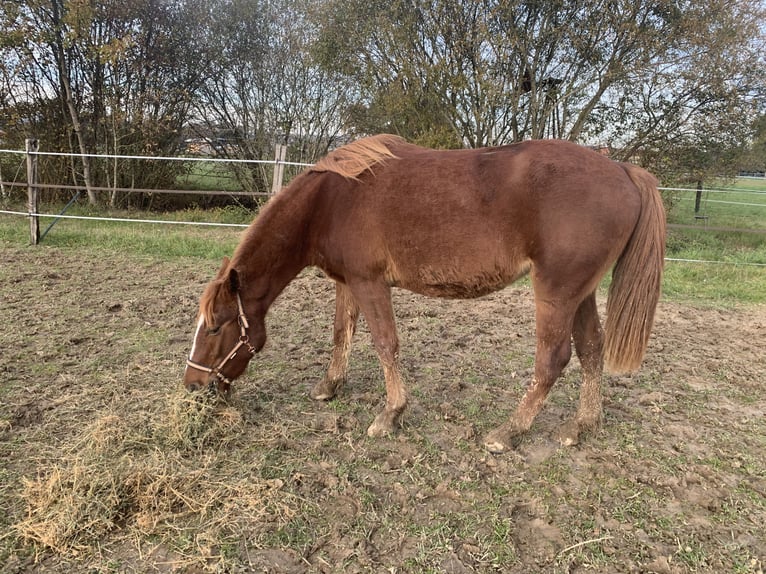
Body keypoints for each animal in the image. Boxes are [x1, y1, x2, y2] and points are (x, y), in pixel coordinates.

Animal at [184, 134, 665, 453]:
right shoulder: (347, 282)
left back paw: (508, 432)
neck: (331, 200)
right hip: (581, 294)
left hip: (556, 293)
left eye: (216, 327)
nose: (193, 386)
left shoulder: (369, 283)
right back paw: (580, 426)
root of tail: (623, 170)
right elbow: (342, 334)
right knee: (591, 348)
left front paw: (390, 414)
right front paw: (330, 385)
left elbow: (384, 344)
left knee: (553, 360)